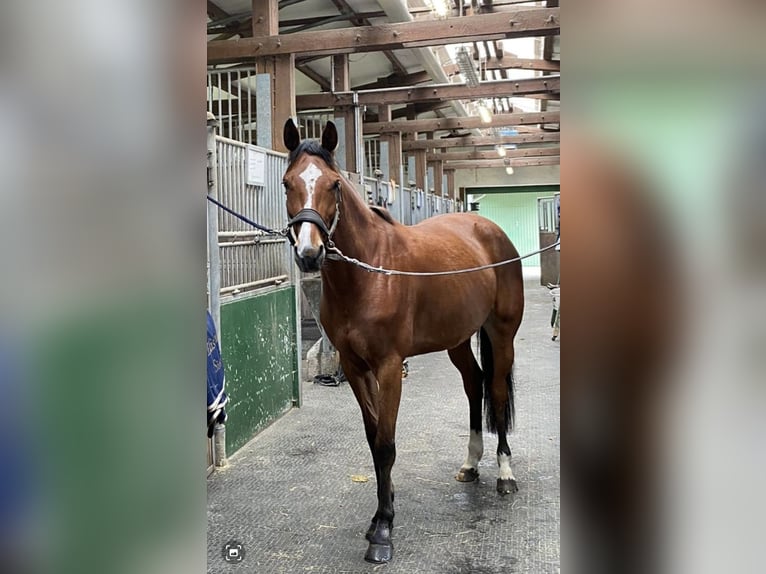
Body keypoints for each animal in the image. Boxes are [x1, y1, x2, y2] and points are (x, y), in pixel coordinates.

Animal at [284, 119, 528, 564]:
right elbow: (372, 437)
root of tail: (491, 230)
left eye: (333, 184)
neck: (369, 271)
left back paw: (505, 473)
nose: (310, 254)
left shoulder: (389, 367)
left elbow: (386, 444)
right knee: (475, 384)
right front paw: (383, 509)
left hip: (501, 335)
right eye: (287, 182)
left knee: (498, 392)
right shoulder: (354, 367)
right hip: (457, 339)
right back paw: (471, 464)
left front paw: (383, 530)